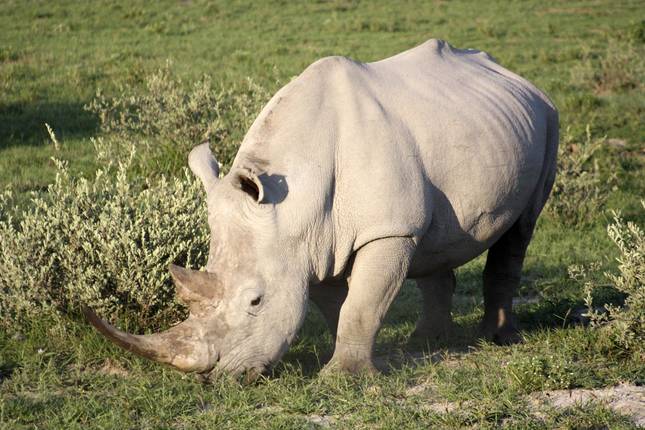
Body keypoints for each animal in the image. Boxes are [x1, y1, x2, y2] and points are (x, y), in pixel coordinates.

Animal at [85, 39, 559, 377]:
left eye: (255, 301)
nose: (212, 377)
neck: (296, 200)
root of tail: (514, 75)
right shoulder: (312, 243)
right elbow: (340, 306)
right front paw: (345, 361)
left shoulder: (386, 229)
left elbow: (362, 304)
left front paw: (342, 378)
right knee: (434, 235)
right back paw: (425, 344)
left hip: (548, 118)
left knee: (520, 230)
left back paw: (498, 339)